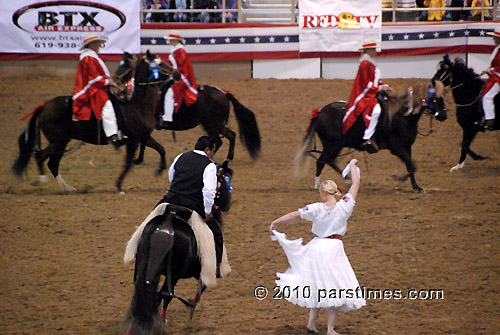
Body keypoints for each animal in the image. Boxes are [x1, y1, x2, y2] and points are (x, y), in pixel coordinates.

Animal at [9, 52, 170, 194]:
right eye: (160, 64)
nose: (175, 73)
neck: (137, 104)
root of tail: (44, 106)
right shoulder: (134, 140)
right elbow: (128, 163)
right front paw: (119, 186)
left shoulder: (144, 137)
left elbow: (161, 149)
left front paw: (160, 169)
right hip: (58, 142)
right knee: (41, 156)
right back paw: (41, 180)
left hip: (62, 143)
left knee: (52, 163)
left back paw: (68, 188)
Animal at [122, 161, 233, 334]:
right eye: (222, 180)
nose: (228, 204)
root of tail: (166, 228)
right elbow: (198, 290)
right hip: (174, 273)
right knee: (164, 294)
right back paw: (158, 322)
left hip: (144, 266)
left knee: (143, 294)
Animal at [131, 53, 264, 164]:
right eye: (159, 64)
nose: (176, 74)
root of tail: (224, 93)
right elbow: (143, 142)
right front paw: (139, 159)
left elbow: (145, 142)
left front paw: (139, 159)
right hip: (217, 125)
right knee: (231, 135)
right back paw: (228, 158)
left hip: (210, 125)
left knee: (218, 141)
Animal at [294, 84, 448, 194]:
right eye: (435, 99)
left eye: (443, 99)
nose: (443, 116)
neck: (402, 117)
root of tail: (320, 113)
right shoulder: (397, 149)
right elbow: (412, 165)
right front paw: (399, 179)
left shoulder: (407, 147)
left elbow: (410, 166)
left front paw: (416, 186)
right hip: (332, 145)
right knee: (322, 161)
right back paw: (320, 185)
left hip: (335, 145)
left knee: (329, 161)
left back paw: (347, 181)